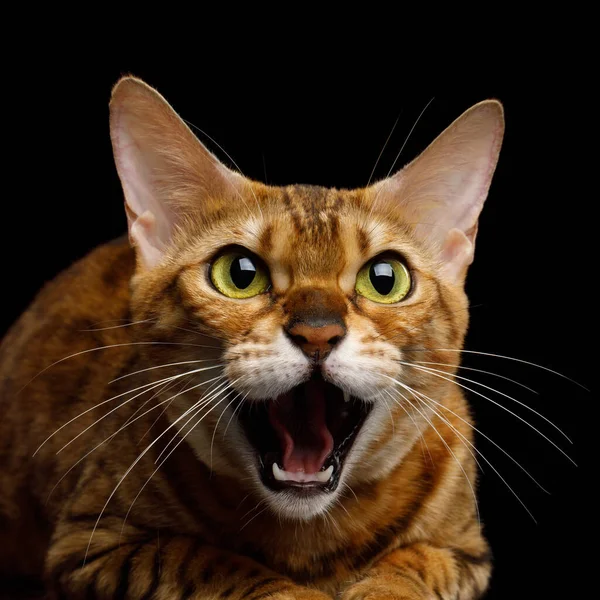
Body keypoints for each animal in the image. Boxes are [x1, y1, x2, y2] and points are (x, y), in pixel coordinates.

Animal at [0, 77, 504, 596]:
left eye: (384, 279)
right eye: (239, 274)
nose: (317, 333)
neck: (310, 537)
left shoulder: (464, 550)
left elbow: (415, 562)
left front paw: (382, 587)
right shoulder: (89, 545)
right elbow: (204, 560)